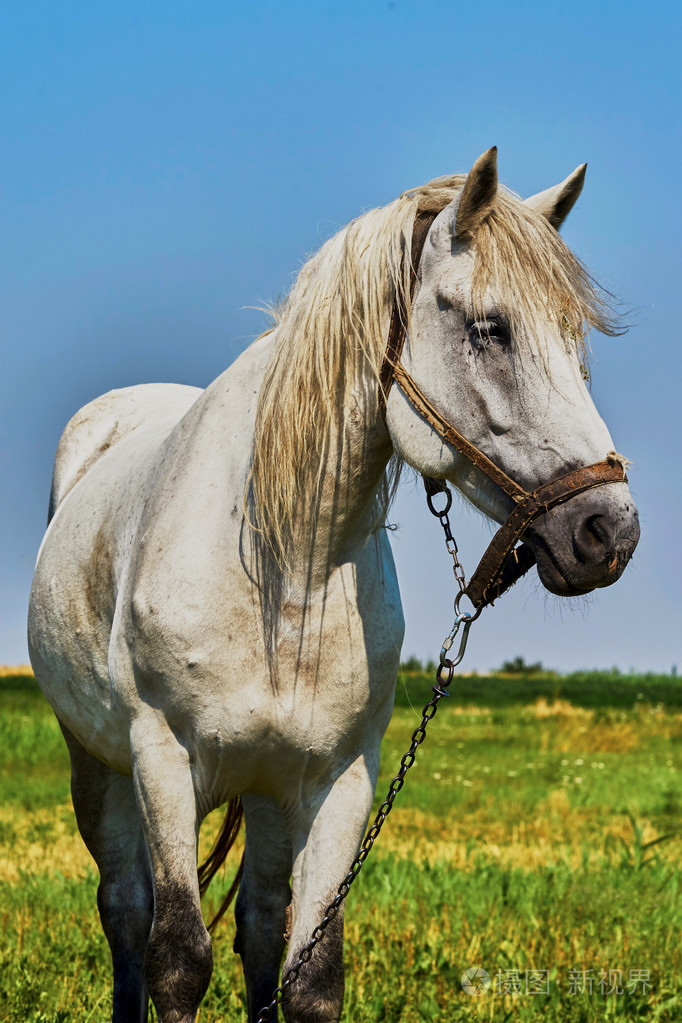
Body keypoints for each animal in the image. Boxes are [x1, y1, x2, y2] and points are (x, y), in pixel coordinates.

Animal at [28, 147, 640, 1023]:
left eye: (572, 336)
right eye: (490, 328)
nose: (608, 532)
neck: (285, 572)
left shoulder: (341, 778)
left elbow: (309, 971)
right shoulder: (163, 760)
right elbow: (176, 957)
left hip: (268, 792)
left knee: (259, 922)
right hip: (99, 766)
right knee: (125, 913)